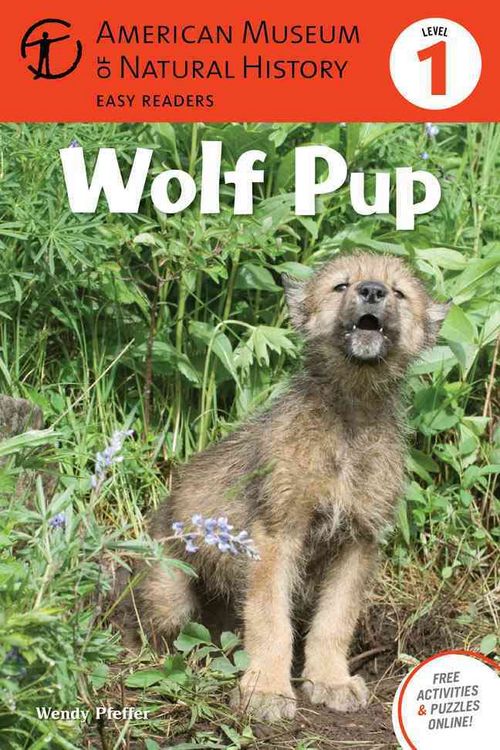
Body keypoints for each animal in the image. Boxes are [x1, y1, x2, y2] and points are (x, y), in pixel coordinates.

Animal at [129, 252, 449, 722]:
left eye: (399, 292)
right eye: (341, 285)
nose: (372, 290)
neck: (350, 417)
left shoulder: (358, 541)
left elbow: (334, 621)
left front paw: (330, 681)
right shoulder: (276, 535)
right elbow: (269, 620)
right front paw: (265, 690)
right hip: (170, 589)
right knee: (165, 627)